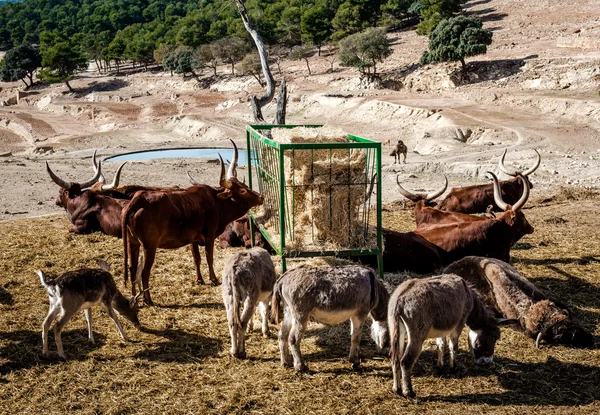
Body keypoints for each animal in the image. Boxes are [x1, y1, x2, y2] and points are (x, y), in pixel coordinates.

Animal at [120, 140, 264, 306]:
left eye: (245, 186)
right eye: (242, 191)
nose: (261, 197)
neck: (216, 202)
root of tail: (138, 199)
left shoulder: (192, 240)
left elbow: (197, 259)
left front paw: (199, 280)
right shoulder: (209, 236)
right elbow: (208, 257)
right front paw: (213, 279)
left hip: (133, 243)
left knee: (132, 268)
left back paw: (134, 298)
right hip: (149, 246)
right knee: (144, 271)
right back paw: (148, 299)